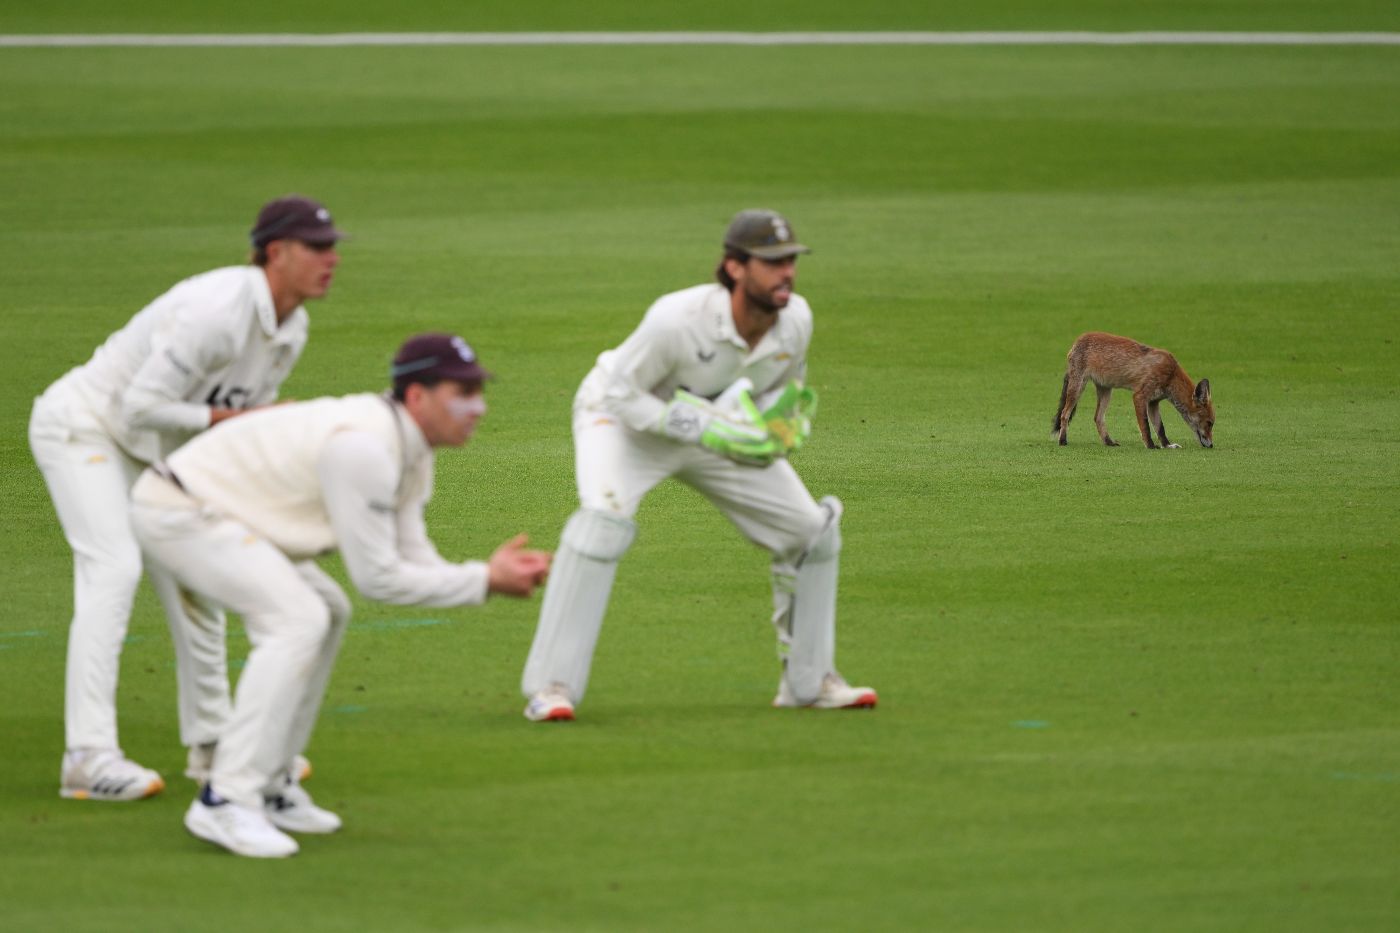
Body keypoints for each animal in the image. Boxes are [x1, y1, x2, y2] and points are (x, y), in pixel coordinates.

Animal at [1051, 332, 1214, 449]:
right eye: (1210, 423)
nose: (1211, 445)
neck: (1171, 374)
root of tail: (1078, 340)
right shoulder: (1140, 396)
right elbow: (1146, 426)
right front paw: (1150, 445)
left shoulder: (1153, 402)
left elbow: (1160, 428)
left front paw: (1167, 445)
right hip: (1078, 387)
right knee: (1065, 414)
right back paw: (1063, 440)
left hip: (1106, 391)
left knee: (1097, 417)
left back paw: (1108, 442)